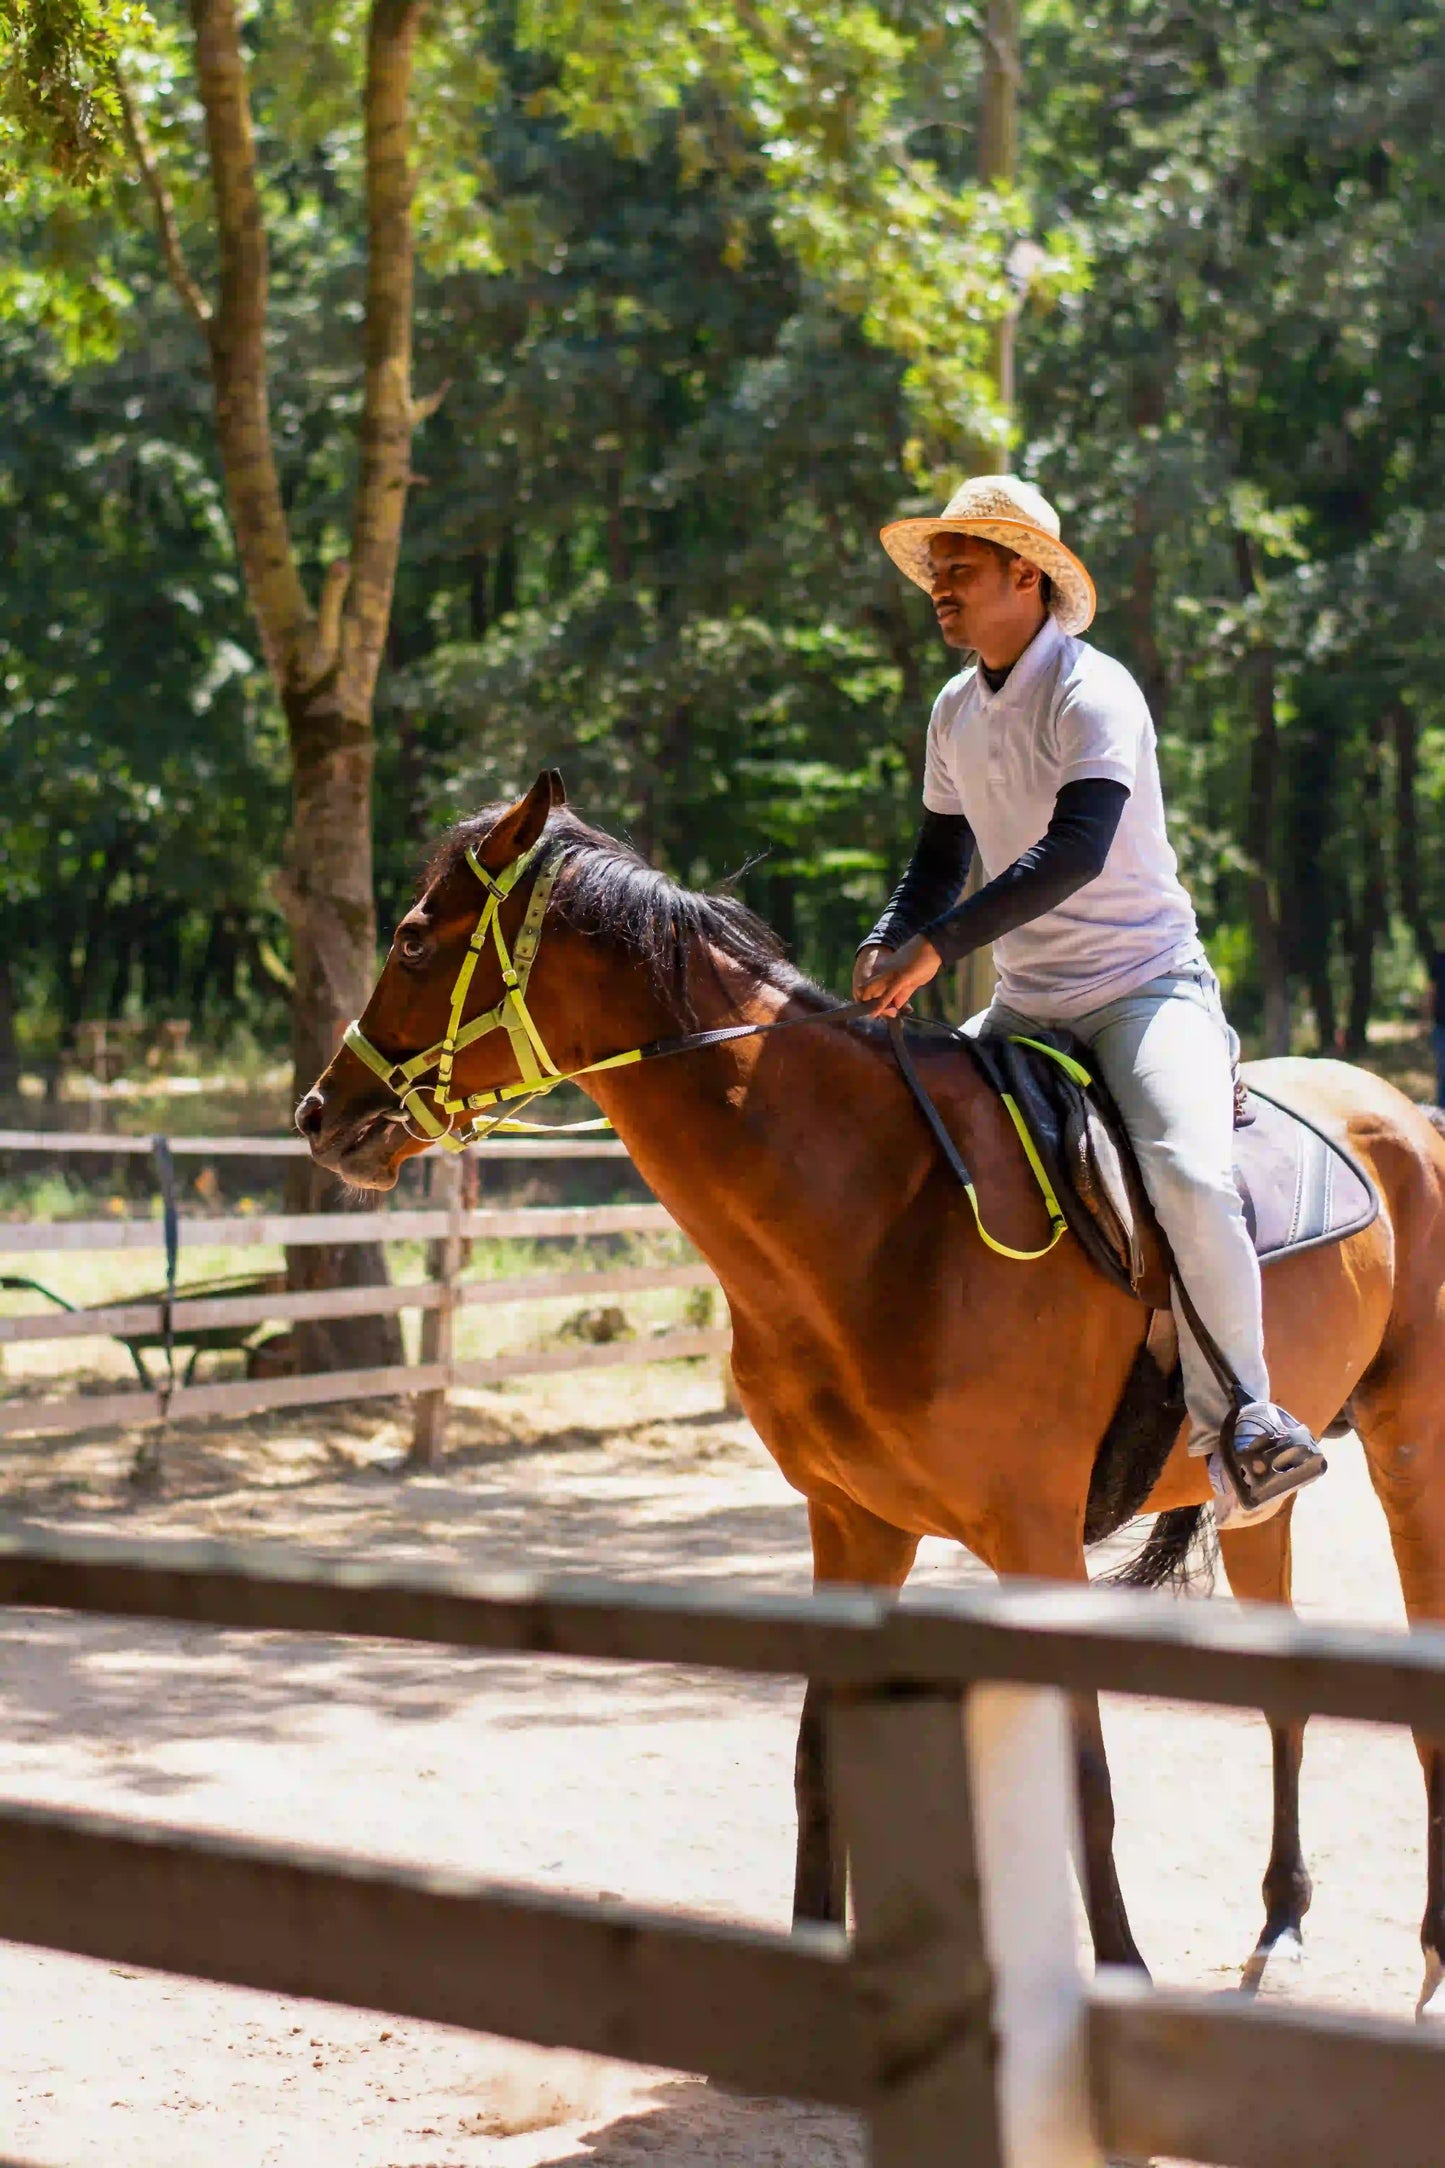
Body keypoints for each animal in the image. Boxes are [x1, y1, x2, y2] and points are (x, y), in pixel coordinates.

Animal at [297, 771, 1445, 2016]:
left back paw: (1428, 1963)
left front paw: (1119, 1977)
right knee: (1283, 1683)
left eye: (415, 938)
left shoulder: (1034, 1540)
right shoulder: (851, 1525)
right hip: (1255, 1503)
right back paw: (1281, 1919)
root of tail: (1403, 1113)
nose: (318, 1111)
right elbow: (817, 1761)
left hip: (1409, 1454)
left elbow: (1080, 1771)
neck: (882, 1205)